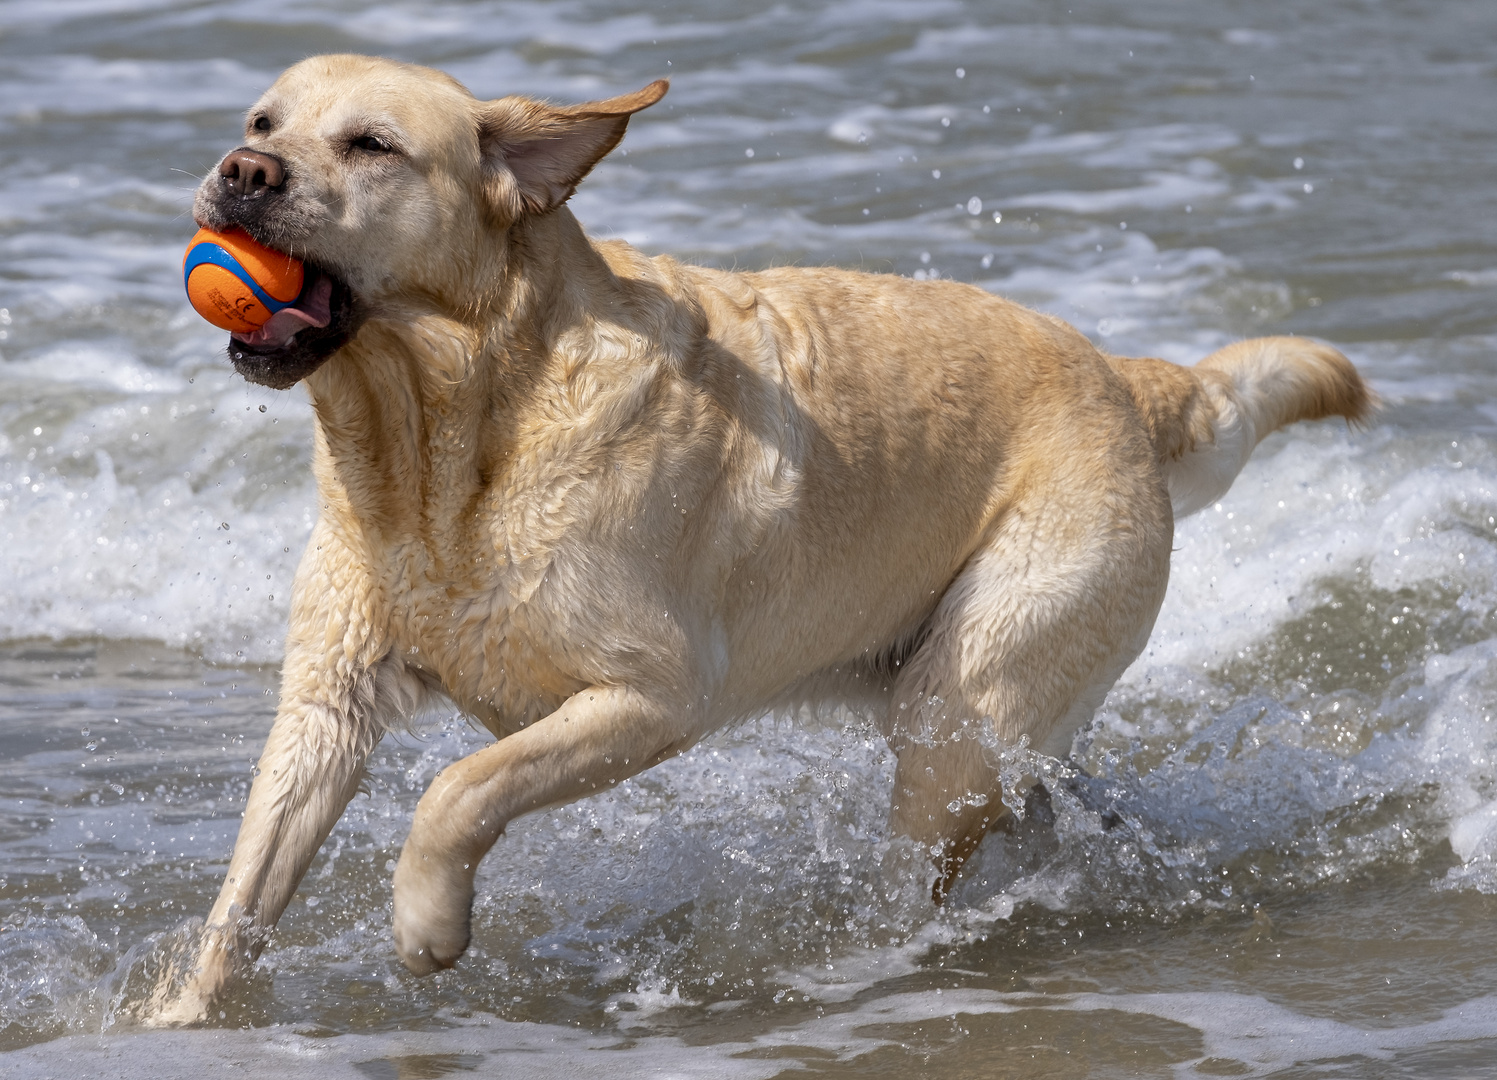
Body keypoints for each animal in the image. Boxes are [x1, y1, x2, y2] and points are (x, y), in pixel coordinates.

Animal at [151, 56, 1371, 1018]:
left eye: (372, 144)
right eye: (264, 120)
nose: (242, 171)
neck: (445, 443)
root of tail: (1126, 375)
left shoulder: (654, 693)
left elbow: (459, 788)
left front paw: (425, 926)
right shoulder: (327, 701)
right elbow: (241, 893)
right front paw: (179, 1022)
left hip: (960, 698)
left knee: (916, 869)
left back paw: (860, 965)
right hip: (991, 712)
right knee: (1044, 802)